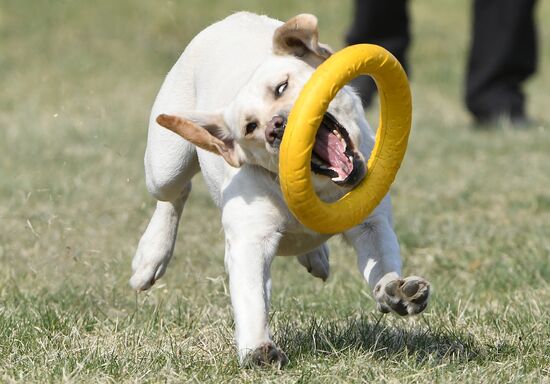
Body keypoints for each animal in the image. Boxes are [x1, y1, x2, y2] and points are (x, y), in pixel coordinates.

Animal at [130, 11, 432, 366]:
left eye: (282, 87)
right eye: (250, 127)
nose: (275, 128)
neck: (318, 189)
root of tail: (233, 17)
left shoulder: (371, 221)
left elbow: (382, 261)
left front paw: (396, 291)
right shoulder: (250, 240)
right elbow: (251, 298)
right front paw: (258, 348)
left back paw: (316, 256)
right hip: (166, 165)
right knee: (173, 195)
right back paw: (150, 257)